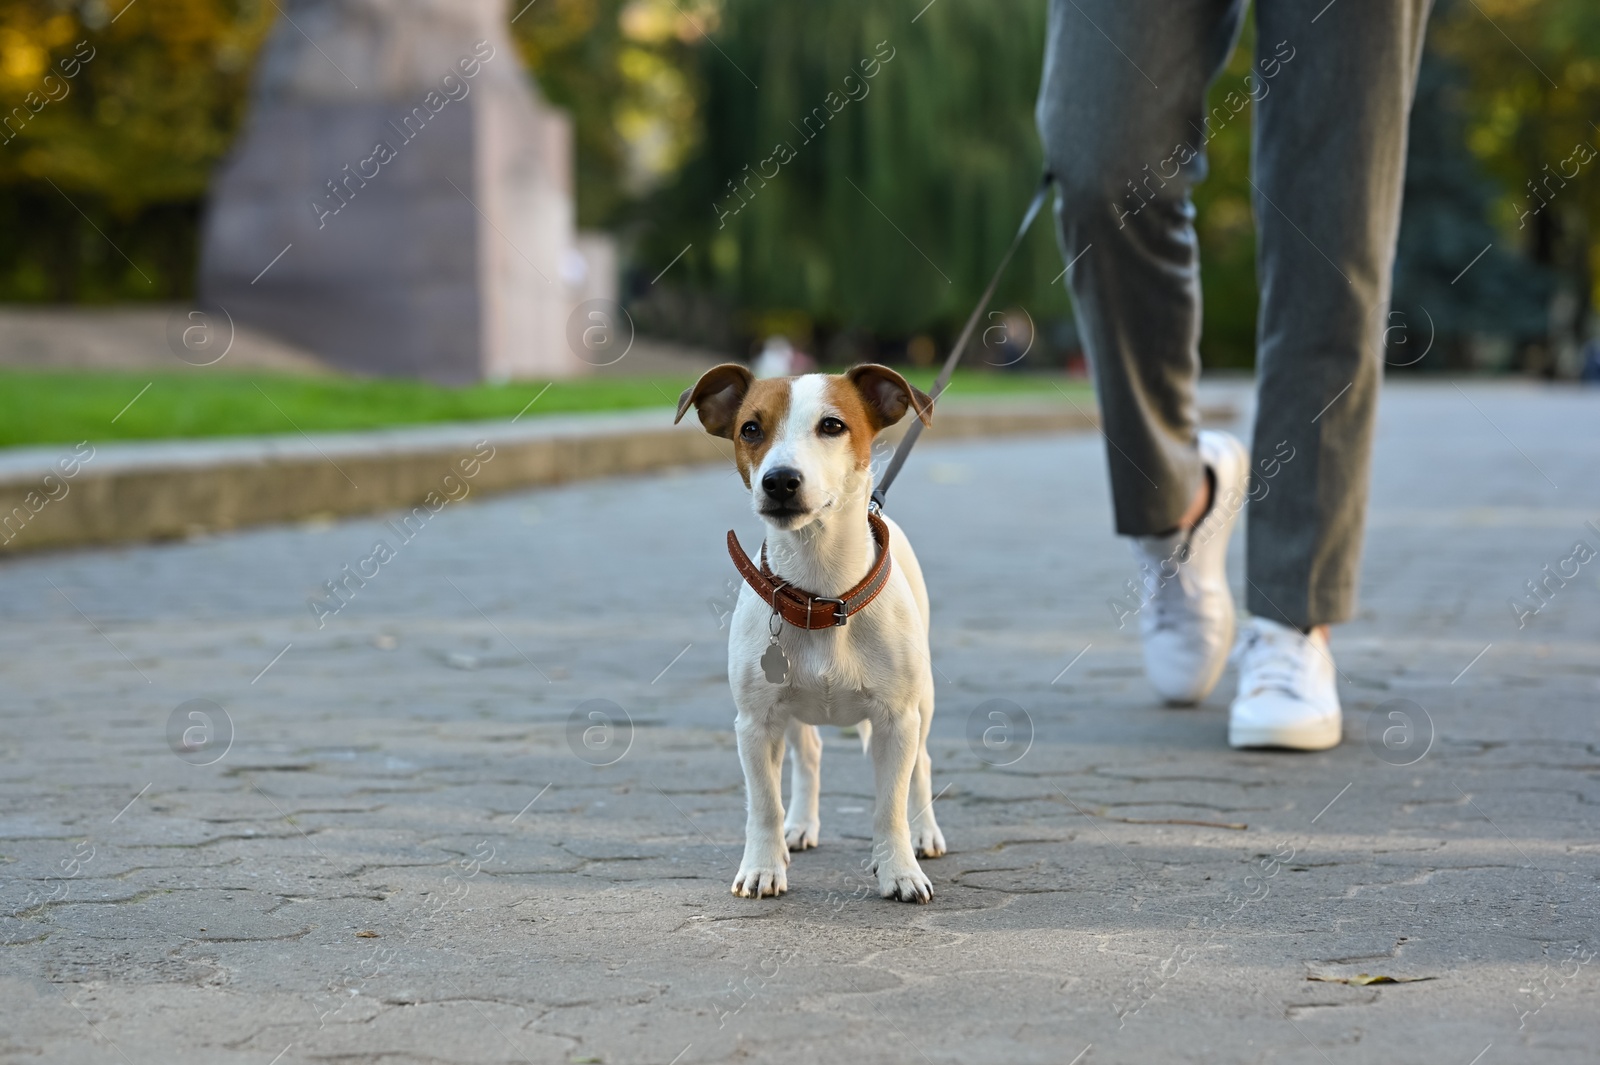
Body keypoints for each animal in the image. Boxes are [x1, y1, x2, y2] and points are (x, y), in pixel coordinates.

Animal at [668, 361, 940, 901]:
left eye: (832, 425)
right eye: (751, 429)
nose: (779, 481)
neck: (821, 596)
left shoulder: (896, 721)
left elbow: (889, 807)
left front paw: (898, 869)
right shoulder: (755, 724)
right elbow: (763, 805)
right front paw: (763, 866)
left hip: (923, 701)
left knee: (921, 766)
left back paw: (924, 832)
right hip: (791, 714)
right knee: (808, 756)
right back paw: (800, 825)